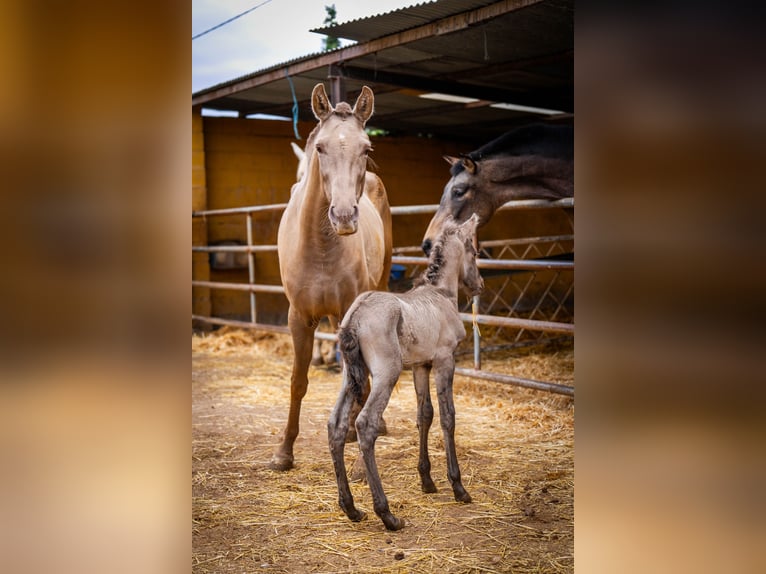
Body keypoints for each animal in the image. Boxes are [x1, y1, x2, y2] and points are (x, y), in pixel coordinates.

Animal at [272, 84, 392, 472]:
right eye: (321, 148)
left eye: (366, 148)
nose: (343, 216)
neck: (321, 246)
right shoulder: (298, 317)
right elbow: (298, 381)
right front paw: (284, 452)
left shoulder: (347, 316)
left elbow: (361, 384)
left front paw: (362, 461)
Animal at [328, 215, 484, 532]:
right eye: (474, 252)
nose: (480, 285)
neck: (441, 295)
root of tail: (355, 315)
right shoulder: (444, 360)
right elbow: (448, 417)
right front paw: (458, 487)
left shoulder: (421, 365)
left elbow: (424, 415)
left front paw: (427, 481)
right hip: (386, 373)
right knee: (365, 424)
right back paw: (386, 514)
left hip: (350, 377)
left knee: (336, 424)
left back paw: (351, 508)